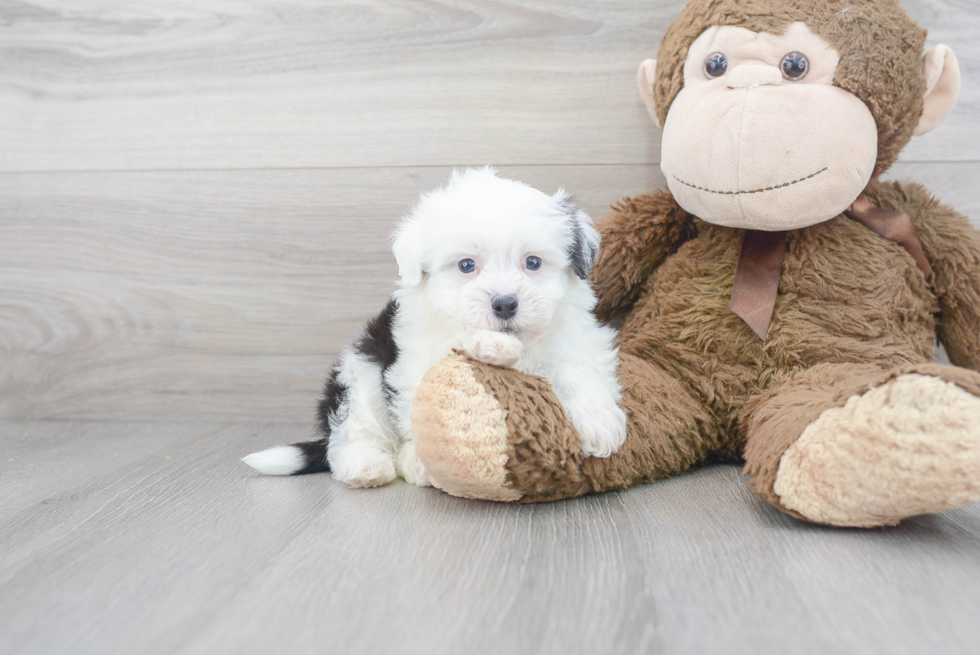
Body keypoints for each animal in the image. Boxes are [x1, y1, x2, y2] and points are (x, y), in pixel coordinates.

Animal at [244, 168, 628, 486]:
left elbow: (578, 369)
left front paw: (599, 424)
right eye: (466, 265)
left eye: (533, 262)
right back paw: (368, 465)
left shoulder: (578, 338)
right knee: (354, 427)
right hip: (361, 366)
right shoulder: (412, 360)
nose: (505, 303)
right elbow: (423, 406)